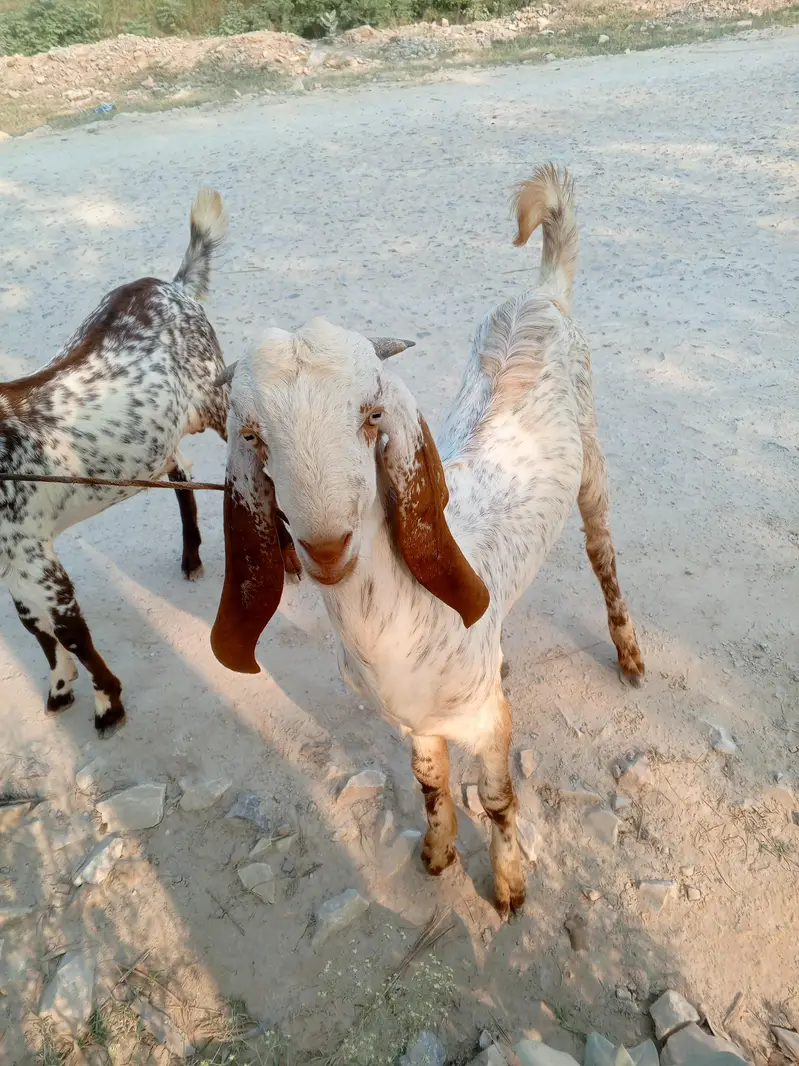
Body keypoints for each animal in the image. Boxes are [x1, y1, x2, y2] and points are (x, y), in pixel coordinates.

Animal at [0, 190, 263, 735]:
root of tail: (174, 286)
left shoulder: (37, 559)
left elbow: (70, 630)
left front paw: (109, 704)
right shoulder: (13, 558)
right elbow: (33, 626)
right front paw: (61, 688)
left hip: (215, 398)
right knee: (180, 473)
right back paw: (191, 556)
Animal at [209, 164, 645, 918]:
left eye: (370, 416)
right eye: (253, 435)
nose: (326, 548)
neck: (400, 621)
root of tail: (541, 293)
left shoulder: (489, 723)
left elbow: (496, 799)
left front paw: (508, 888)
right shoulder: (414, 723)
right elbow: (429, 782)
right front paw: (437, 854)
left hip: (592, 465)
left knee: (602, 554)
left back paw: (629, 652)